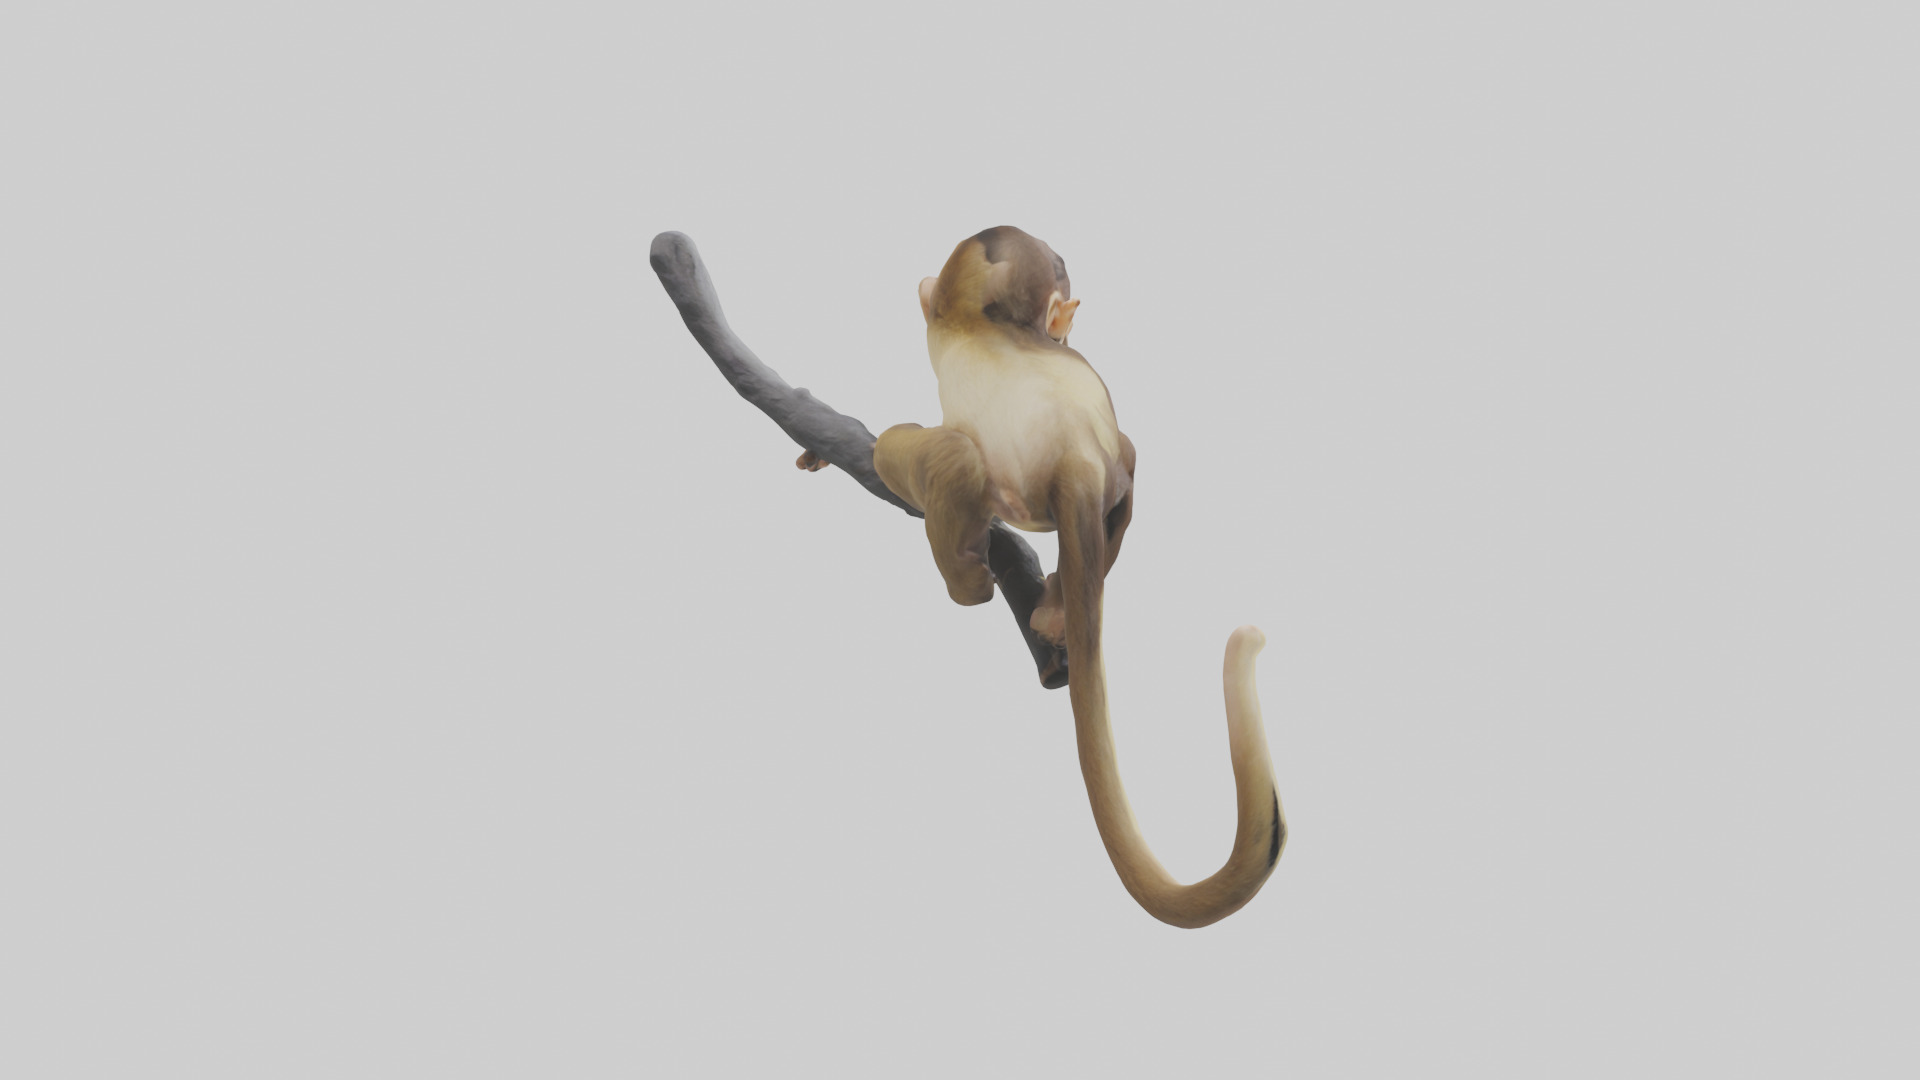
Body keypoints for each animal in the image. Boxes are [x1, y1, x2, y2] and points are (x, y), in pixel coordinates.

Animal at [851, 226, 1285, 928]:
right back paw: (1051, 606)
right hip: (1090, 470)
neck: (979, 320)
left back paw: (968, 577)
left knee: (941, 453)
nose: (1062, 332)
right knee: (1120, 463)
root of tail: (1073, 462)